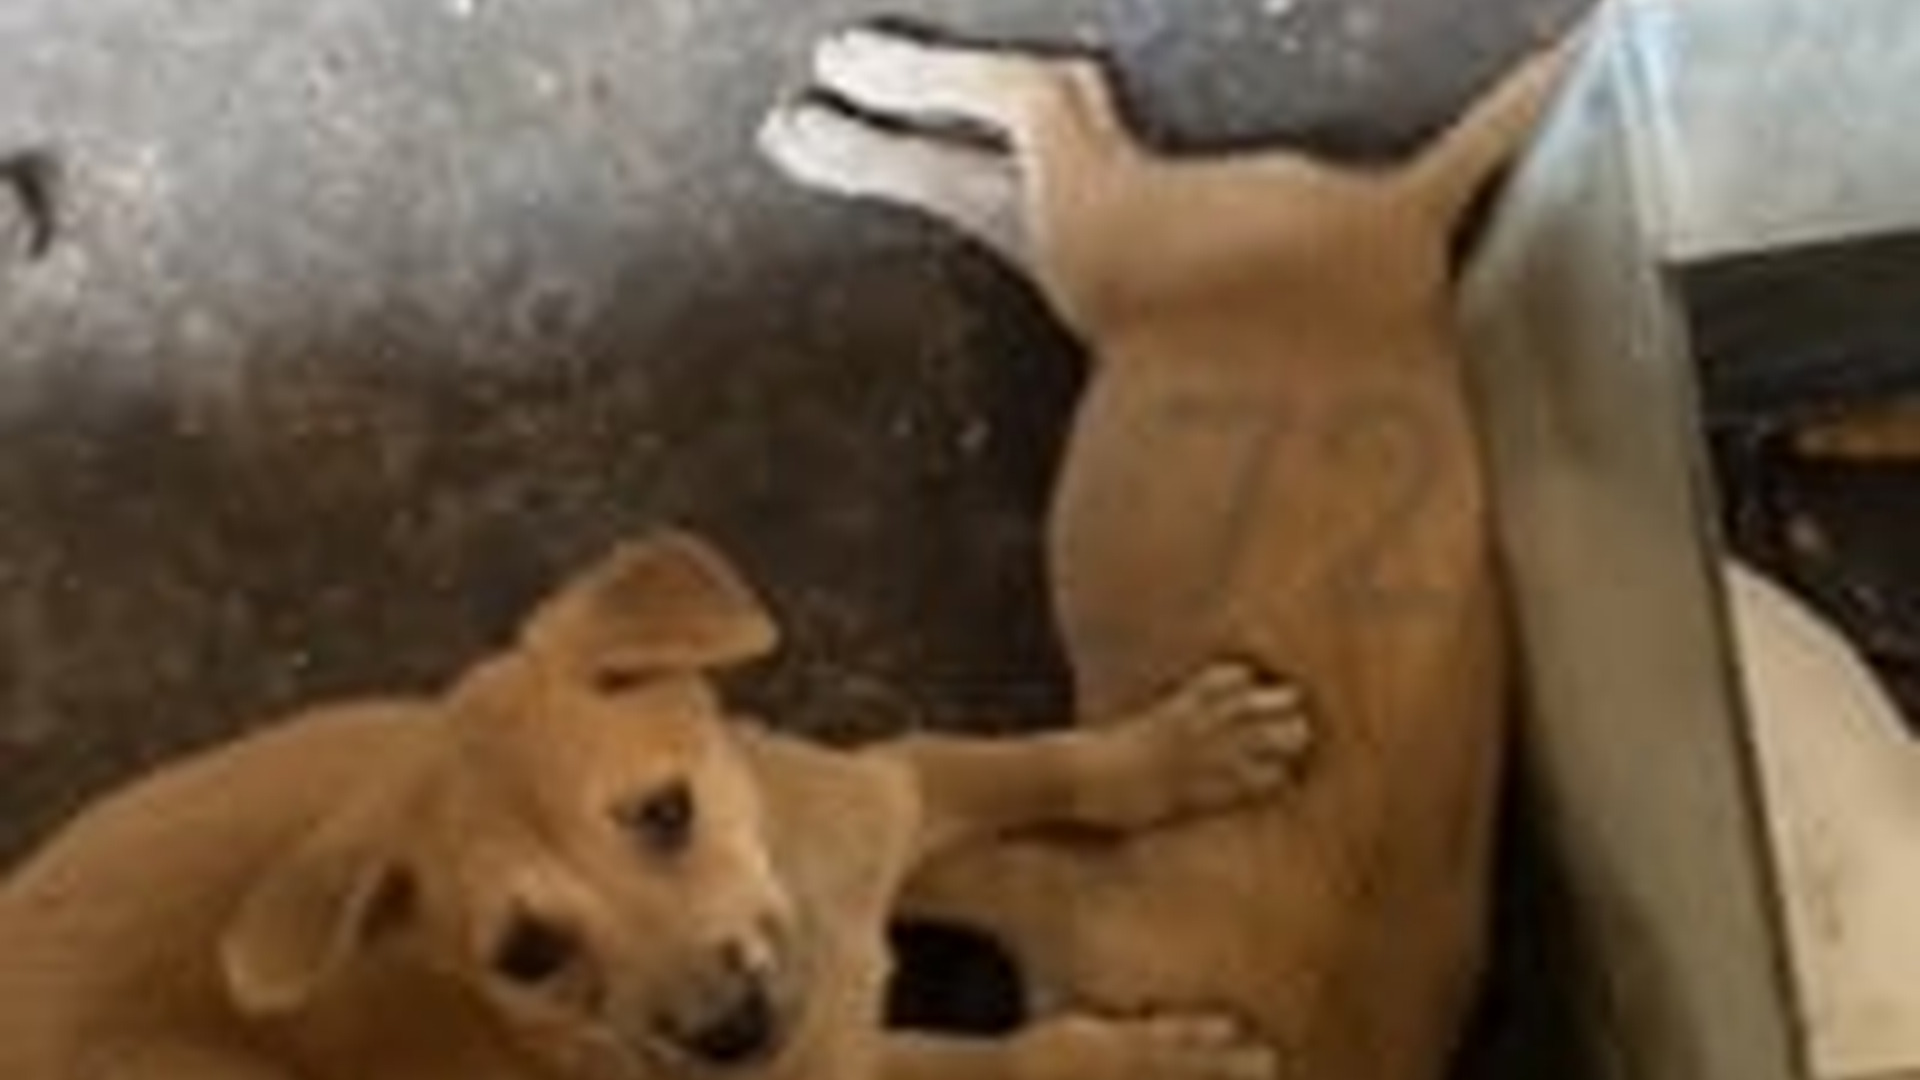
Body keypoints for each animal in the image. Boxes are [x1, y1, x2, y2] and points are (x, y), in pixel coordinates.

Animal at [0, 531, 1314, 1080]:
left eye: (665, 812)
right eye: (526, 955)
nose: (725, 1036)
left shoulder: (876, 794)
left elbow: (1023, 763)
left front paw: (1187, 749)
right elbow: (1009, 1064)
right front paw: (1157, 1061)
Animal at [761, 24, 1570, 1080]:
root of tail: (1402, 222)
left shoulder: (1051, 893)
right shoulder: (1055, 895)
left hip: (1110, 270)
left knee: (1021, 166)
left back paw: (827, 127)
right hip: (1118, 242)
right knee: (1059, 96)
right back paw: (847, 98)